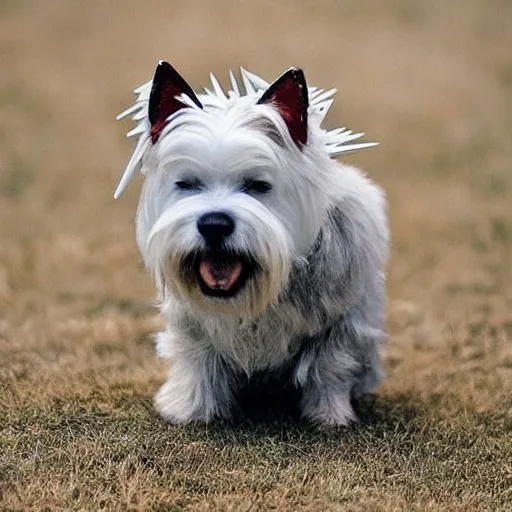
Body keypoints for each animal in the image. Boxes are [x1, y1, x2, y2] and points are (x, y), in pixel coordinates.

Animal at [116, 62, 388, 426]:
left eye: (257, 185)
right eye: (186, 183)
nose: (214, 224)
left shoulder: (340, 323)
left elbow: (329, 368)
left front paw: (329, 416)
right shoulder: (193, 329)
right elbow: (197, 363)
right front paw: (190, 409)